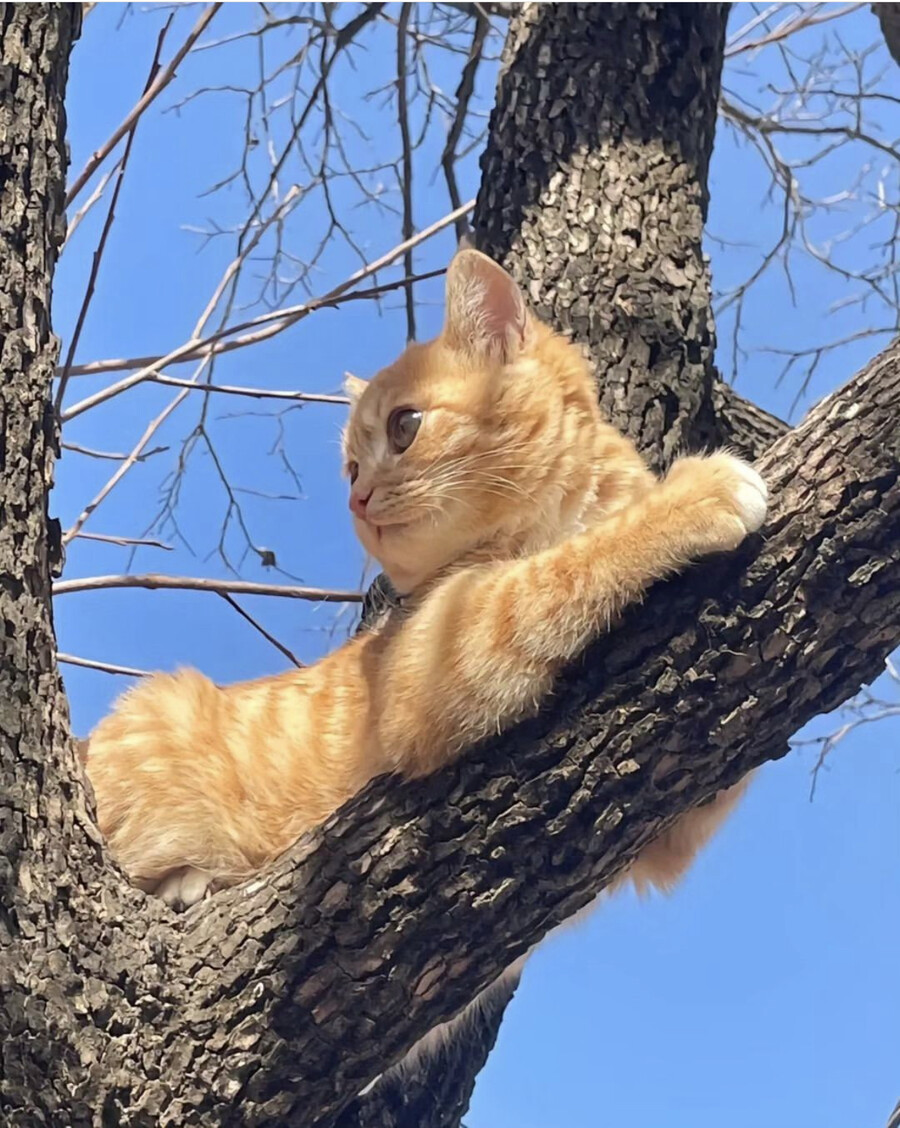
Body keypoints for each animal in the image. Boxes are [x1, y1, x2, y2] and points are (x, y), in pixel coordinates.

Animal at [84, 244, 766, 915]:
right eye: (351, 468)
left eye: (403, 427)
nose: (356, 499)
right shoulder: (443, 643)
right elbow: (556, 570)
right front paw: (693, 495)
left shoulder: (673, 828)